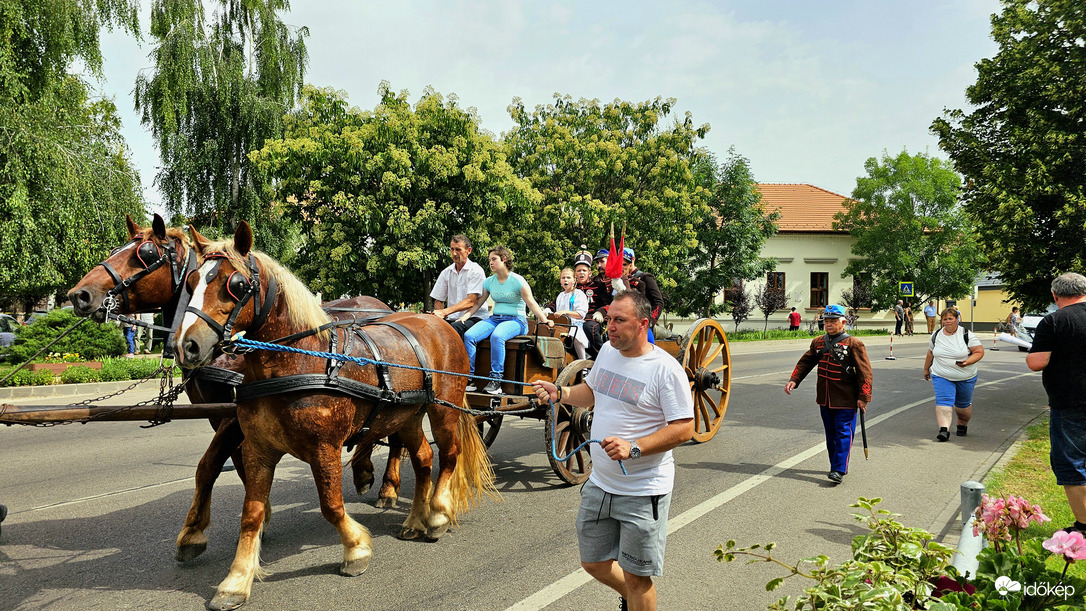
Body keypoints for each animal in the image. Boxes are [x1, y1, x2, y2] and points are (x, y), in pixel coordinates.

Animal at [65, 213, 410, 564]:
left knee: (396, 436)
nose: (79, 294)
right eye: (191, 282)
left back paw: (388, 487)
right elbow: (237, 464)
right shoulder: (226, 417)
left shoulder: (232, 416)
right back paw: (365, 472)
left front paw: (196, 532)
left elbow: (210, 465)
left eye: (145, 254)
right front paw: (257, 516)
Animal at [179, 223, 497, 611]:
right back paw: (414, 518)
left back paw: (436, 514)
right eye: (191, 280)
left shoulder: (324, 448)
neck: (298, 360)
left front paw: (356, 549)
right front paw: (236, 580)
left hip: (443, 408)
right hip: (404, 417)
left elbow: (331, 504)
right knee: (423, 458)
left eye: (235, 284)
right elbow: (250, 513)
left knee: (449, 456)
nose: (188, 344)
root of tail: (438, 322)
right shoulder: (258, 449)